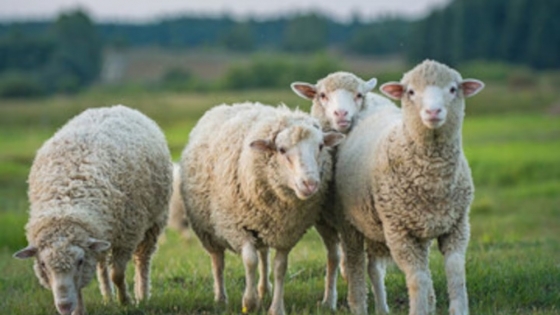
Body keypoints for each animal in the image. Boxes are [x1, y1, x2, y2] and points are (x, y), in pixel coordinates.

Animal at [14, 105, 173, 315]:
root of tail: (114, 107)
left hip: (154, 221)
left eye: (80, 261)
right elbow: (82, 284)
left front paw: (126, 301)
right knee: (101, 264)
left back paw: (142, 295)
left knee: (142, 259)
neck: (67, 203)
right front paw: (80, 310)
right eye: (42, 264)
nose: (64, 306)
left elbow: (117, 274)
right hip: (102, 230)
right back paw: (107, 297)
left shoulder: (128, 234)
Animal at [182, 102, 344, 314]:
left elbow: (280, 267)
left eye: (320, 146)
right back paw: (221, 298)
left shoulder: (286, 232)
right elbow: (250, 261)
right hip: (207, 228)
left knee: (264, 253)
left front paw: (276, 308)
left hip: (263, 224)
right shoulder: (237, 227)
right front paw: (250, 303)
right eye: (281, 150)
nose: (310, 184)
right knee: (218, 261)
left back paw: (265, 289)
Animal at [290, 72, 396, 312]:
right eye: (322, 95)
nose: (341, 114)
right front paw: (329, 301)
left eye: (358, 95)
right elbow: (333, 258)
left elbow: (372, 268)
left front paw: (382, 306)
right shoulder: (324, 221)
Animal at [334, 59, 484, 315]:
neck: (433, 181)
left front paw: (458, 309)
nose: (433, 112)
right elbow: (417, 278)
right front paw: (418, 308)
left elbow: (456, 272)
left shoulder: (457, 225)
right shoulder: (398, 232)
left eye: (453, 89)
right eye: (411, 92)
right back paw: (358, 304)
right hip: (350, 223)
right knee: (355, 265)